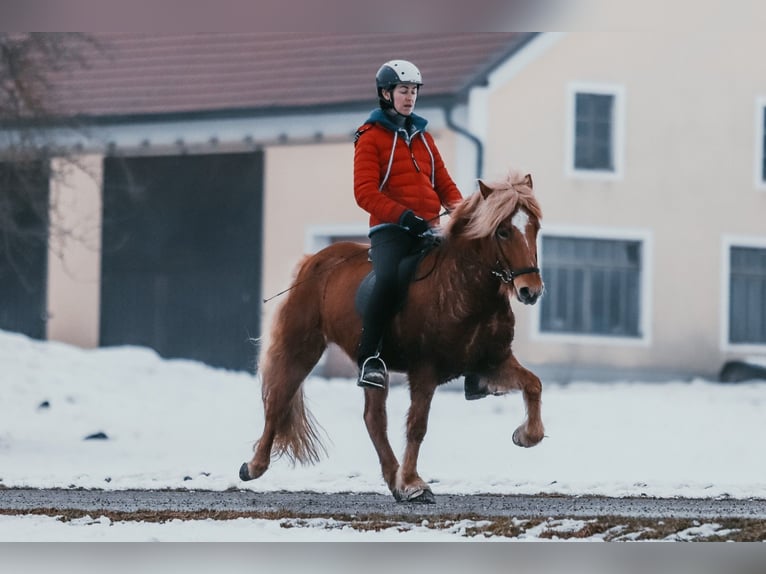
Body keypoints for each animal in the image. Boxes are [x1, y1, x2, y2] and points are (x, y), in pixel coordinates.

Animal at [239, 169, 546, 503]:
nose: (530, 291)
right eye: (503, 231)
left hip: (374, 367)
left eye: (535, 227)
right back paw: (254, 467)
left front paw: (525, 435)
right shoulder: (425, 370)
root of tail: (315, 260)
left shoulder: (493, 362)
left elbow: (534, 385)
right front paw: (413, 483)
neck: (463, 288)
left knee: (373, 419)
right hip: (301, 348)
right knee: (279, 400)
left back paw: (392, 478)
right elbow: (417, 426)